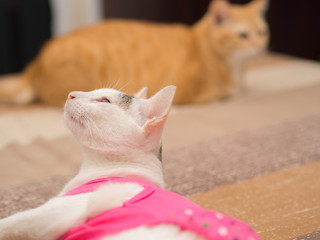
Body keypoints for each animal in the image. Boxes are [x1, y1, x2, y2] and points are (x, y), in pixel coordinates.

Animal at [0, 0, 268, 106]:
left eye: (262, 32)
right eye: (243, 36)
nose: (259, 47)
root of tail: (35, 64)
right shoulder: (198, 94)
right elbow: (226, 93)